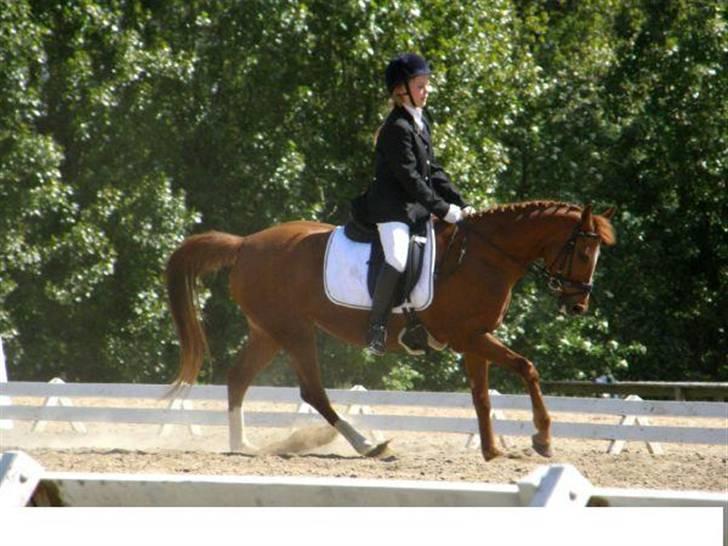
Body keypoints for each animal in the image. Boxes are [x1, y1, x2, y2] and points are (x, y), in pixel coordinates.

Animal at [166, 200, 616, 461]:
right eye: (583, 251)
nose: (577, 306)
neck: (484, 256)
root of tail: (244, 244)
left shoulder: (475, 340)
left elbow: (483, 398)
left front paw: (492, 451)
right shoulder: (470, 337)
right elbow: (527, 368)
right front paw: (542, 438)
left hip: (268, 332)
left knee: (238, 378)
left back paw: (242, 445)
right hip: (292, 331)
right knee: (312, 392)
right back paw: (367, 444)